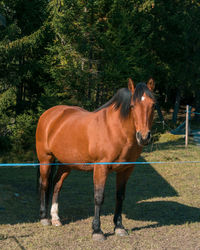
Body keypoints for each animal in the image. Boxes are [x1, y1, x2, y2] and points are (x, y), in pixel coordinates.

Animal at [35, 77, 155, 240]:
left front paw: (119, 227)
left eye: (153, 105)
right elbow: (99, 197)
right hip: (45, 159)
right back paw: (44, 218)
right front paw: (97, 230)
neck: (117, 131)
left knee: (57, 185)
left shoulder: (126, 170)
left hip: (67, 163)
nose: (143, 137)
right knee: (45, 184)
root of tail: (49, 114)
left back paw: (55, 218)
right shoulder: (101, 168)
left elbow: (120, 196)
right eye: (132, 106)